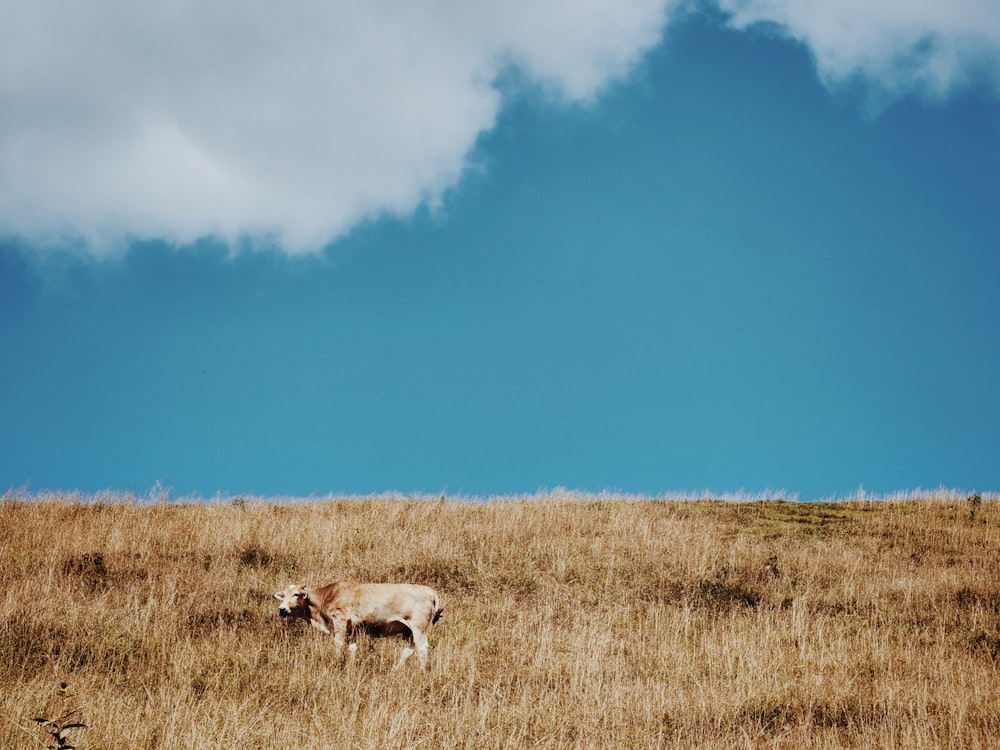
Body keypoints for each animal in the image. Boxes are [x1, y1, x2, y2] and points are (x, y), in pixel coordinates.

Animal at [276, 580, 444, 668]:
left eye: (296, 594)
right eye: (283, 595)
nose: (282, 609)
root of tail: (428, 590)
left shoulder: (340, 622)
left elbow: (339, 644)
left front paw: (336, 662)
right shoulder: (352, 630)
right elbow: (352, 648)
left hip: (418, 627)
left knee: (422, 648)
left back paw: (421, 670)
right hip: (409, 631)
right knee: (409, 650)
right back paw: (395, 669)